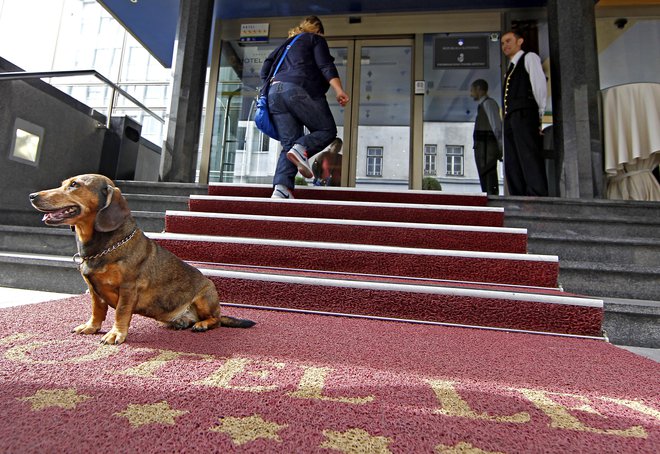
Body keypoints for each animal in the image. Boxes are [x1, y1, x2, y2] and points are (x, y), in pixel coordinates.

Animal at [29, 174, 254, 344]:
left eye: (75, 185)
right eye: (63, 183)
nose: (32, 195)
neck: (104, 246)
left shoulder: (128, 288)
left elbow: (120, 312)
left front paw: (115, 334)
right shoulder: (94, 291)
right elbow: (97, 311)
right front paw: (91, 327)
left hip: (205, 297)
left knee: (216, 320)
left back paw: (202, 324)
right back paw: (182, 322)